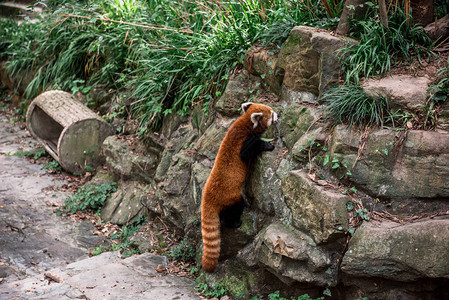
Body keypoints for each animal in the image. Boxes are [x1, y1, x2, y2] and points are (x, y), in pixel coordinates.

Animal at [200, 102, 276, 272]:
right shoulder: (245, 141)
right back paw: (235, 222)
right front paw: (268, 145)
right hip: (231, 198)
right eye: (271, 113)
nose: (278, 115)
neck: (244, 123)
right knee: (234, 209)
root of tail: (207, 198)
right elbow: (248, 152)